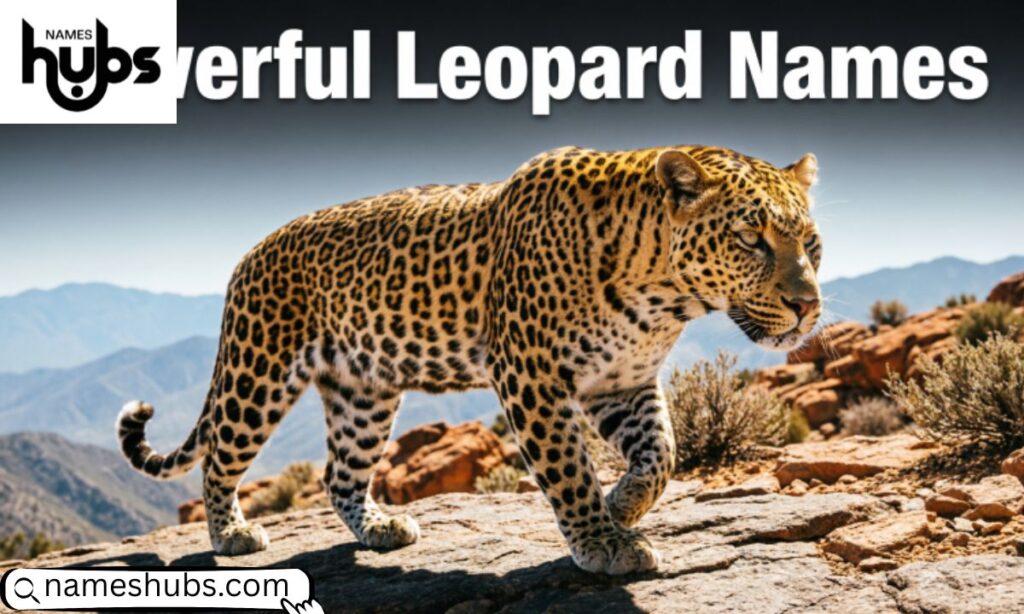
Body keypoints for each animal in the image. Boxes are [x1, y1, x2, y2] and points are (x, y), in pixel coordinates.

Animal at [117, 144, 823, 575]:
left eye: (811, 243)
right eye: (750, 237)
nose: (807, 306)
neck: (663, 293)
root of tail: (247, 254)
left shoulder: (622, 381)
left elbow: (662, 456)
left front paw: (621, 508)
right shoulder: (532, 374)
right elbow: (568, 468)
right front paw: (601, 541)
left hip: (363, 390)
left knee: (339, 473)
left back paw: (379, 528)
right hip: (257, 371)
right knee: (219, 459)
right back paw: (229, 536)